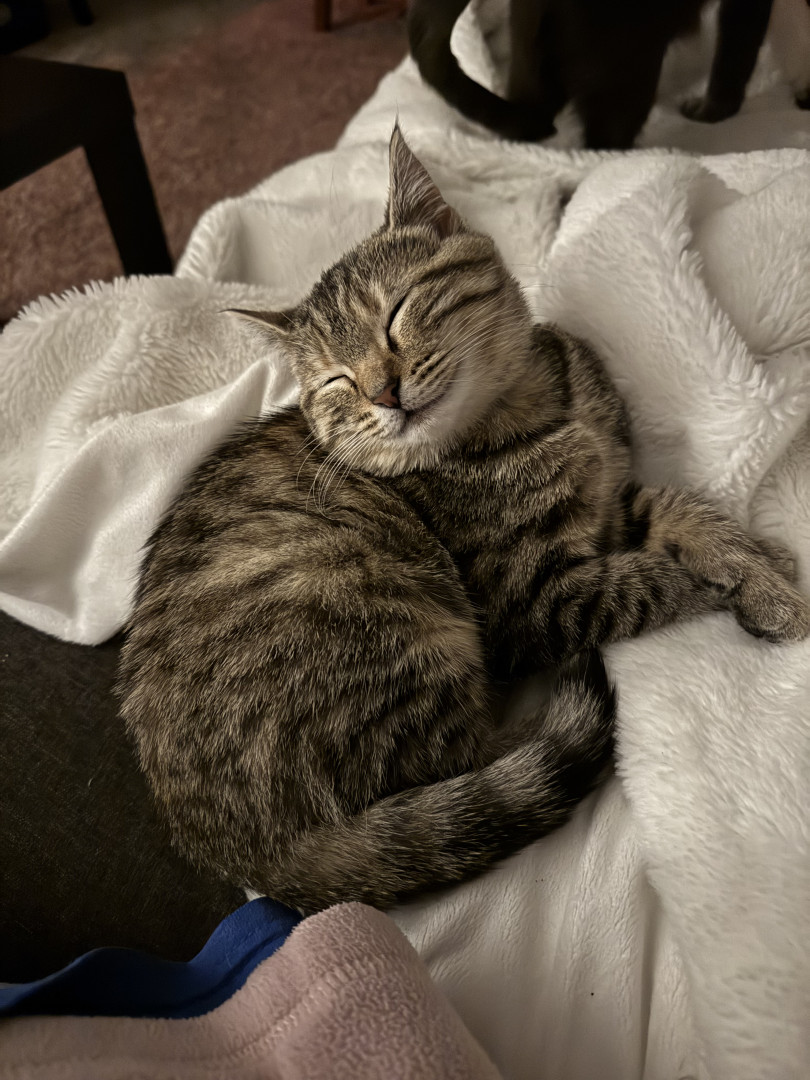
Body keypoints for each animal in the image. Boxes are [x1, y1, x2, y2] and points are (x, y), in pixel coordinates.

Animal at [117, 127, 810, 914]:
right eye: (336, 380)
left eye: (397, 311)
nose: (383, 393)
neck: (531, 411)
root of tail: (257, 863)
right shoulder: (536, 601)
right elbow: (646, 581)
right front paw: (734, 585)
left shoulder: (610, 499)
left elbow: (678, 508)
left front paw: (753, 563)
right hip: (393, 622)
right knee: (475, 766)